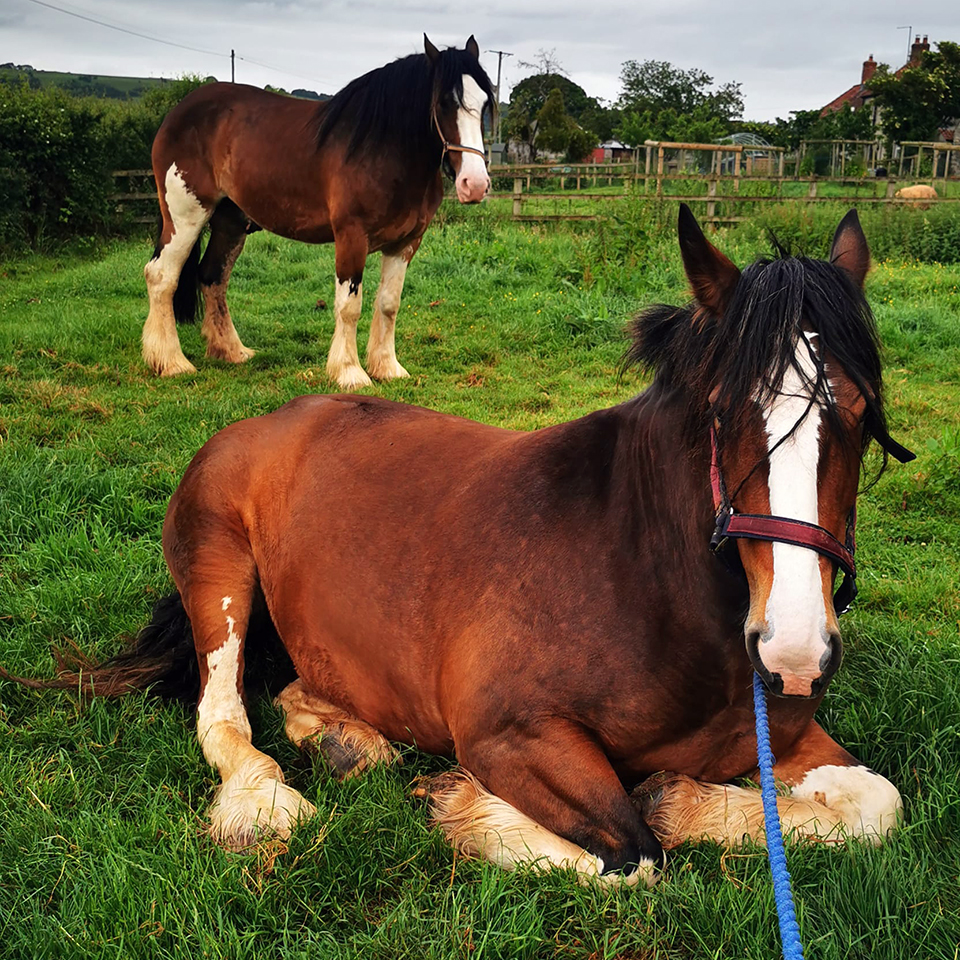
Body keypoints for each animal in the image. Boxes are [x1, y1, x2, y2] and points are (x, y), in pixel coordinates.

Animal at [24, 208, 916, 884]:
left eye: (860, 412)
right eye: (722, 411)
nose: (794, 650)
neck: (648, 580)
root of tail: (263, 421)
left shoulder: (786, 739)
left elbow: (879, 804)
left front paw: (684, 798)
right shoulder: (510, 737)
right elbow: (633, 854)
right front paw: (461, 803)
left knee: (297, 688)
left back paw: (349, 740)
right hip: (220, 578)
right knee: (224, 713)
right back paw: (265, 800)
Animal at [146, 36, 498, 390]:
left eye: (484, 103)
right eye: (443, 103)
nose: (475, 184)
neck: (383, 149)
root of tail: (177, 113)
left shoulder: (406, 243)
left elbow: (389, 304)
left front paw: (387, 367)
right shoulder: (351, 236)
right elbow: (349, 306)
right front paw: (349, 372)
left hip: (230, 223)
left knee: (213, 277)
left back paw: (231, 351)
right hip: (186, 216)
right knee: (161, 276)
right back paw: (170, 361)